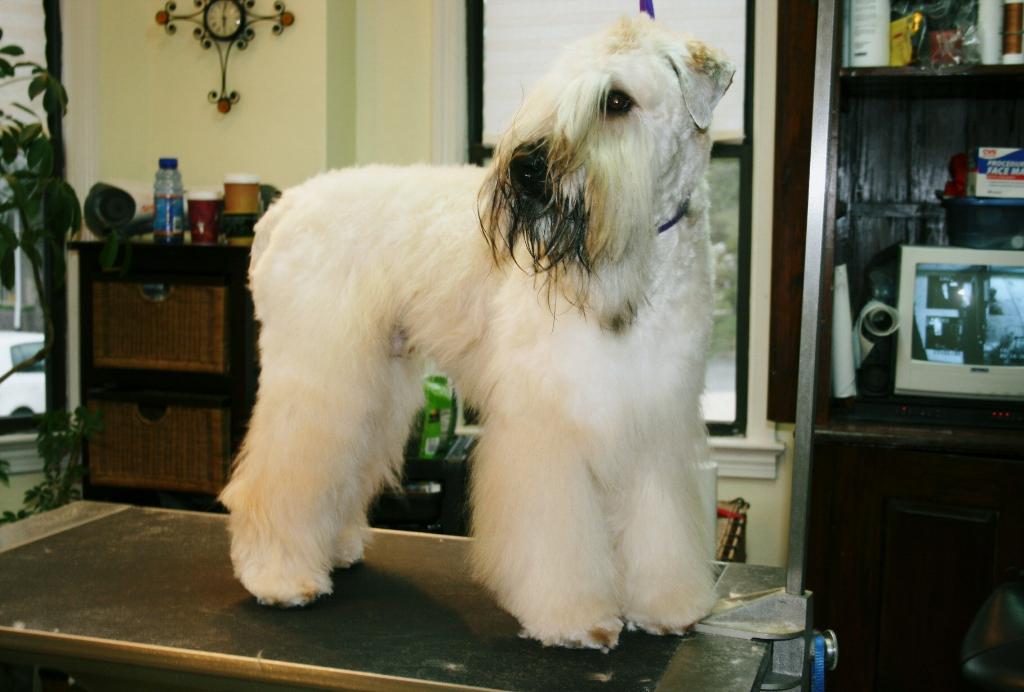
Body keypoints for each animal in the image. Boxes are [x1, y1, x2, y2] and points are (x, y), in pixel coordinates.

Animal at [220, 16, 733, 655]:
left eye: (617, 100)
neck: (640, 260)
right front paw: (572, 616)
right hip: (321, 376)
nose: (527, 167)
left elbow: (657, 520)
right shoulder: (548, 421)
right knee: (277, 475)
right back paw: (280, 575)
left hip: (372, 385)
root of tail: (282, 210)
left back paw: (331, 547)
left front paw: (666, 605)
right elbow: (557, 533)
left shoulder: (654, 416)